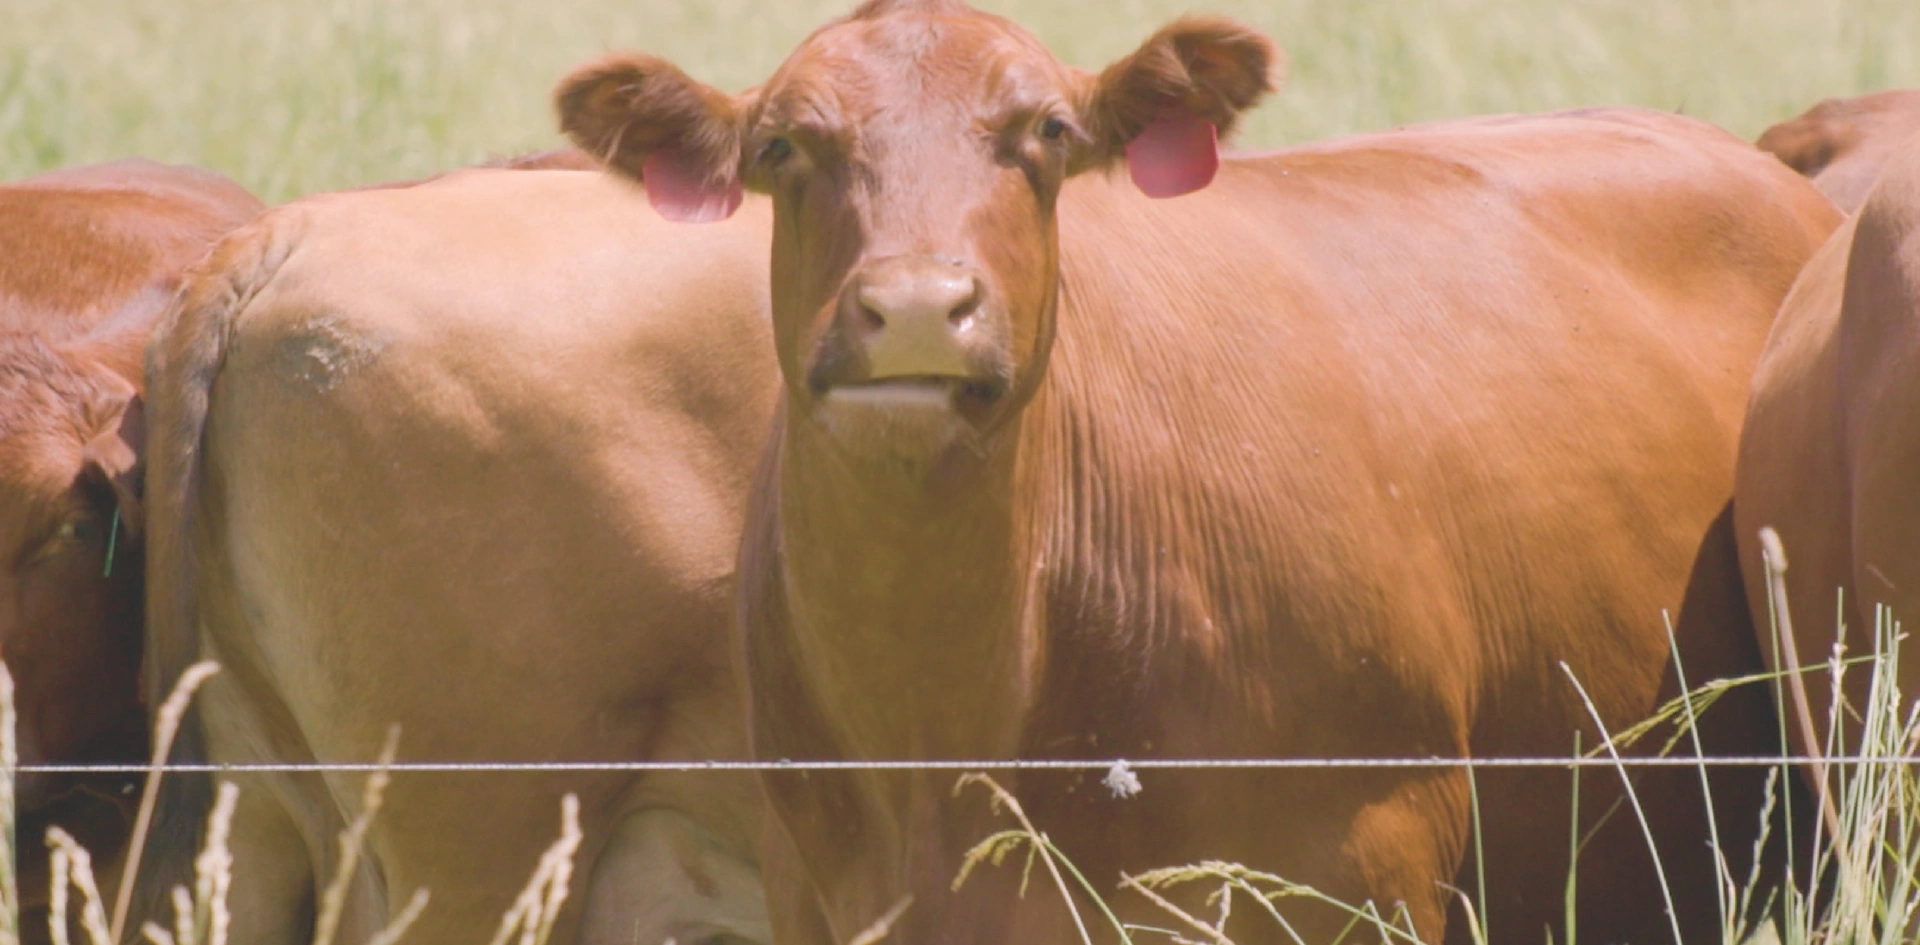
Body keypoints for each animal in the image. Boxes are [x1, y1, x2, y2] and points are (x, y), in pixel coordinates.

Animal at [553, 1, 1840, 943]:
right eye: (781, 145)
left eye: (1047, 133)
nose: (918, 307)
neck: (946, 739)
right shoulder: (815, 886)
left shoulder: (1356, 871)